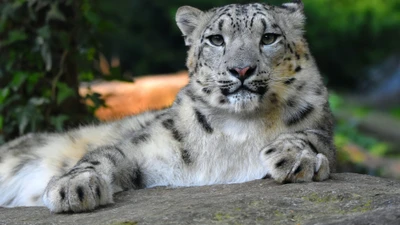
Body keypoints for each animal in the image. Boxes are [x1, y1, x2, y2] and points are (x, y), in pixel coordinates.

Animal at [0, 0, 334, 213]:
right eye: (216, 39)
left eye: (269, 37)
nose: (241, 70)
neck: (238, 127)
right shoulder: (142, 148)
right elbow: (103, 155)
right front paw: (73, 188)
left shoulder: (322, 130)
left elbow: (311, 138)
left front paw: (294, 156)